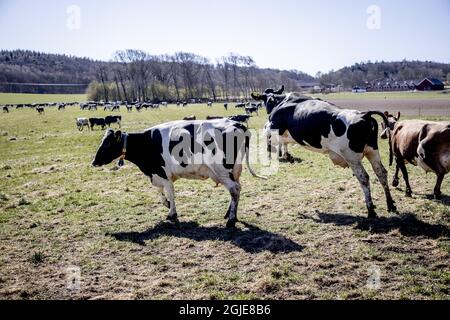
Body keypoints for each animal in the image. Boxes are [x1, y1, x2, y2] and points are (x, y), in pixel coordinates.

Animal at [92, 120, 268, 228]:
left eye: (107, 144)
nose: (93, 162)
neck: (147, 142)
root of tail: (237, 124)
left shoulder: (162, 174)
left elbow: (170, 193)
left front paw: (172, 213)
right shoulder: (157, 174)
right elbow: (161, 192)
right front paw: (167, 204)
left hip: (223, 170)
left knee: (234, 190)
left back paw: (231, 220)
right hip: (233, 170)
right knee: (236, 190)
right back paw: (230, 215)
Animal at [253, 86, 398, 219]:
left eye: (265, 100)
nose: (267, 110)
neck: (282, 101)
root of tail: (364, 115)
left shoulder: (272, 126)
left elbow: (269, 140)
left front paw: (281, 155)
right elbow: (283, 143)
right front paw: (288, 156)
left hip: (352, 157)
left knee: (364, 178)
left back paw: (371, 210)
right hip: (372, 152)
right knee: (381, 173)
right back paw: (390, 204)